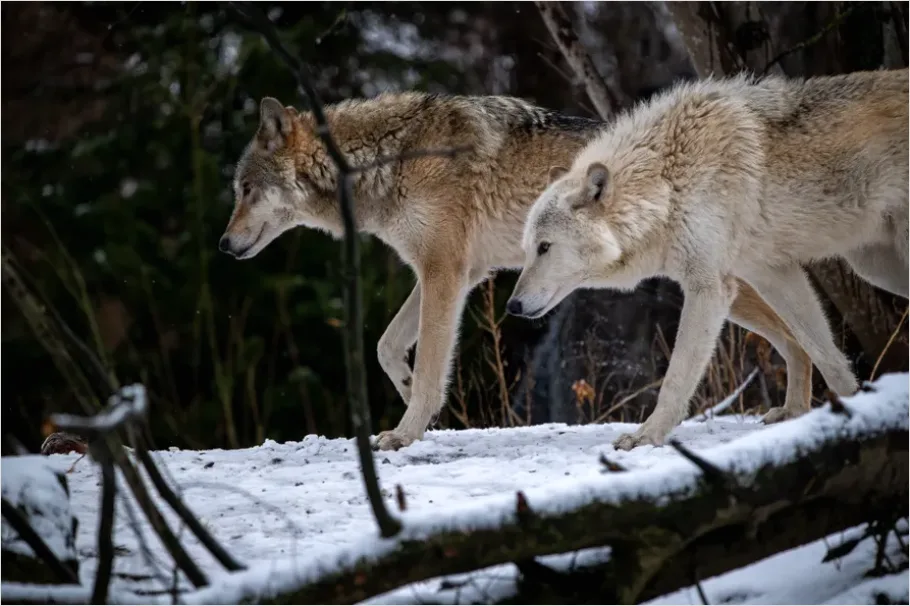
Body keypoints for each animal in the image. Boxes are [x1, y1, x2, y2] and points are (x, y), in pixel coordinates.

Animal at [220, 89, 820, 451]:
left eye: (246, 189)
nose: (223, 246)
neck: (387, 160)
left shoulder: (443, 271)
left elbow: (432, 364)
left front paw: (407, 431)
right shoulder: (458, 274)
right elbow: (387, 346)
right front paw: (407, 387)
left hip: (718, 286)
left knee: (797, 337)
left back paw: (801, 410)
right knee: (799, 335)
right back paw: (799, 412)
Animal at [508, 68, 908, 450]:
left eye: (545, 247)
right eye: (528, 249)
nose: (512, 305)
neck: (667, 182)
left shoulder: (709, 288)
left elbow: (676, 378)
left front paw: (646, 437)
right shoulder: (770, 272)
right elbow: (823, 352)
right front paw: (851, 411)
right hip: (873, 267)